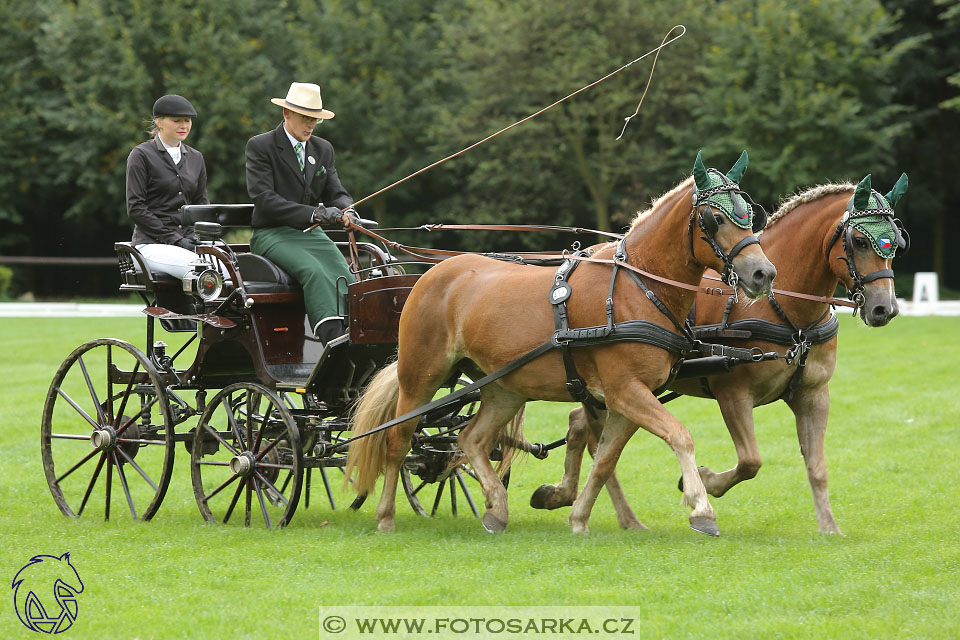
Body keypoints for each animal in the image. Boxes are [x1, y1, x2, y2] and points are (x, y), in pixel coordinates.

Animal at [344, 151, 780, 536]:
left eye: (750, 212)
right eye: (716, 218)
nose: (763, 273)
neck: (637, 287)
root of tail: (433, 274)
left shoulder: (625, 399)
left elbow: (604, 460)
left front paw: (579, 518)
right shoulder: (626, 391)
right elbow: (679, 435)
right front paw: (701, 509)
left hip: (504, 387)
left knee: (471, 440)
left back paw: (497, 510)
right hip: (421, 375)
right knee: (398, 441)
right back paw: (386, 517)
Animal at [536, 171, 912, 536]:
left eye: (898, 240)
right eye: (859, 241)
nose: (885, 308)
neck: (786, 311)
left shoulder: (813, 394)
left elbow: (817, 466)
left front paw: (829, 528)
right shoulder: (733, 394)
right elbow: (750, 461)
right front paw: (707, 483)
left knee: (582, 427)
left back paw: (574, 499)